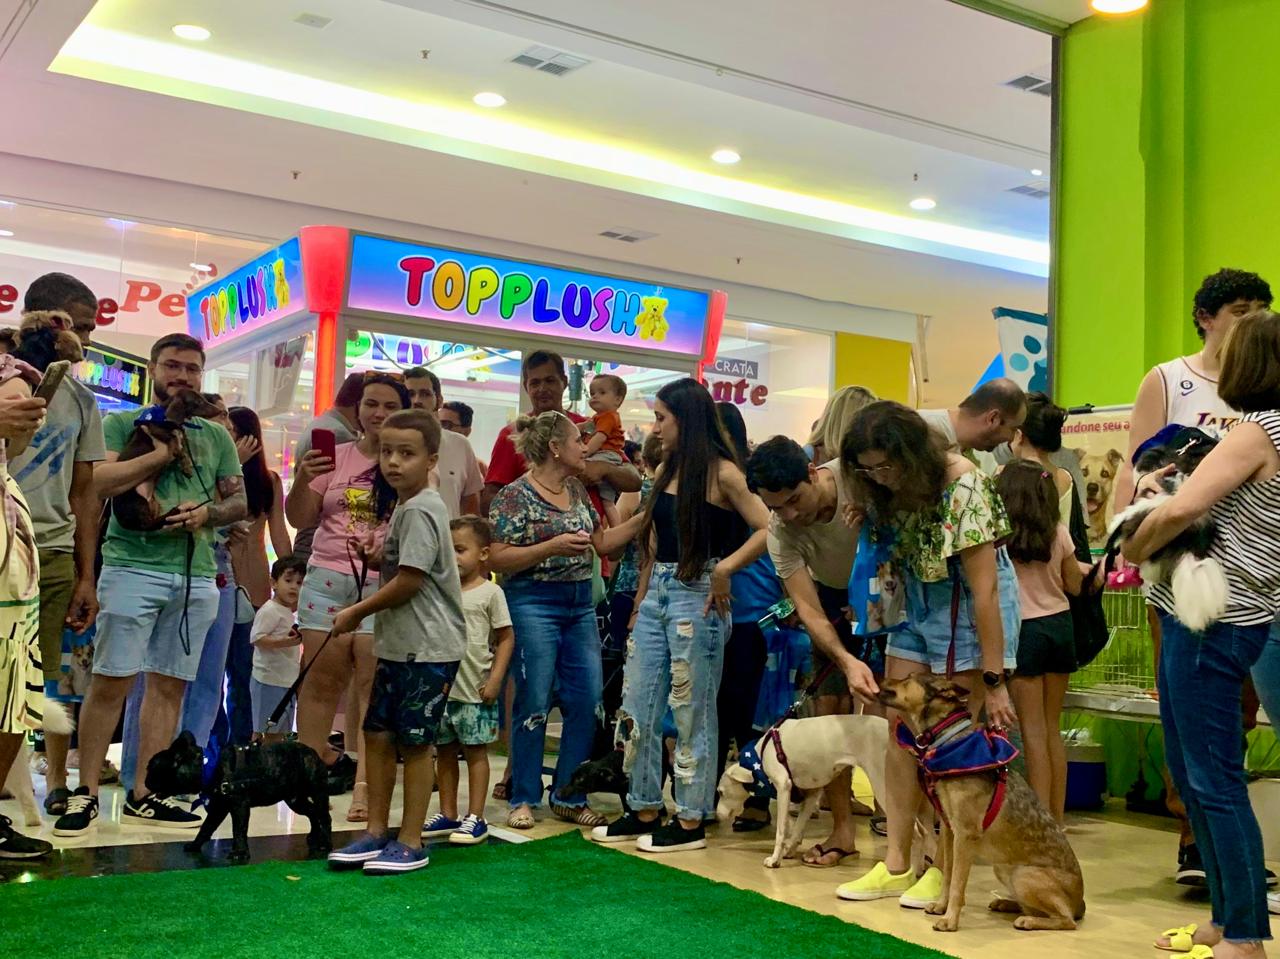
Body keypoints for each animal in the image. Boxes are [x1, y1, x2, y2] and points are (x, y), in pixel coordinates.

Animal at [143, 727, 332, 865]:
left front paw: (240, 853)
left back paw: (325, 843)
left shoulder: (238, 806)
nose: (145, 781)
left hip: (317, 794)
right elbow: (207, 827)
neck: (207, 767)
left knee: (324, 816)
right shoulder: (219, 807)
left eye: (151, 768)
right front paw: (196, 845)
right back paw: (315, 836)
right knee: (312, 813)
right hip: (295, 800)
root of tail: (313, 754)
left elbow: (239, 829)